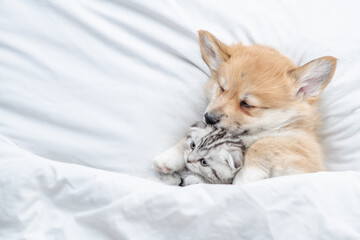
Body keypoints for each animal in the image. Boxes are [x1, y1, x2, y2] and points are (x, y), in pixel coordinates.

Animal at [153, 29, 338, 184]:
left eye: (247, 104)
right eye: (222, 88)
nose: (208, 118)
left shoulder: (301, 148)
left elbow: (263, 145)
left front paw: (244, 177)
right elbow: (196, 136)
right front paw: (170, 157)